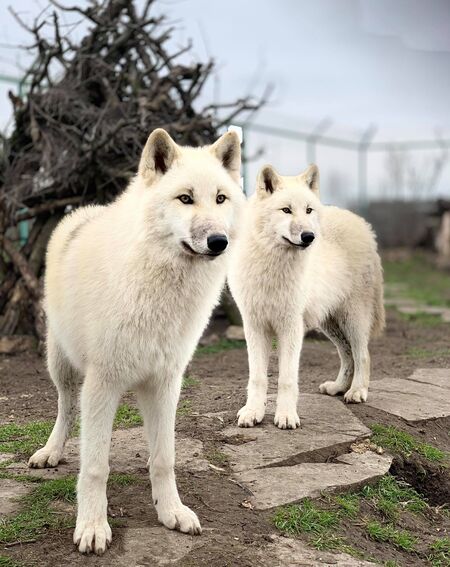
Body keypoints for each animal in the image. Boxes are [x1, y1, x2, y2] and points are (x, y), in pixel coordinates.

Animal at [29, 127, 243, 556]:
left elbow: (164, 458)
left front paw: (171, 512)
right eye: (185, 198)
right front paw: (93, 526)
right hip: (62, 366)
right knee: (65, 409)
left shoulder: (165, 383)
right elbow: (96, 466)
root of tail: (85, 211)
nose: (218, 241)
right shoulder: (102, 382)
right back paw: (52, 452)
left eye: (221, 198)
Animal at [229, 164, 384, 430]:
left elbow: (287, 379)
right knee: (347, 355)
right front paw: (252, 412)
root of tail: (363, 224)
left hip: (353, 319)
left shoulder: (291, 327)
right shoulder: (254, 326)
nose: (309, 236)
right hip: (329, 324)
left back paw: (356, 392)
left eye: (308, 210)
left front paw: (286, 416)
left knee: (363, 355)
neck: (272, 265)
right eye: (286, 210)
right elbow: (257, 377)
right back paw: (337, 387)